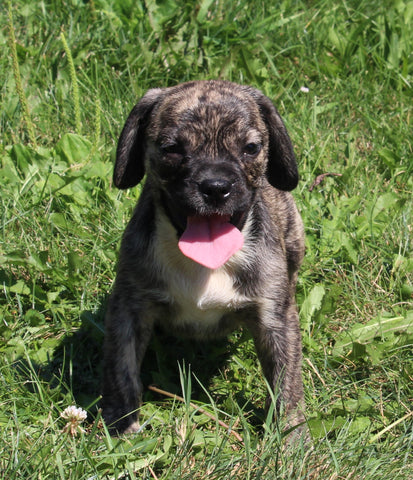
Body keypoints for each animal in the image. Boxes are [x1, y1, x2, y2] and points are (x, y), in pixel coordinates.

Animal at [101, 79, 304, 436]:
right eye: (171, 148)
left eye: (251, 148)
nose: (216, 186)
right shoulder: (128, 310)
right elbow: (121, 369)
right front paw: (122, 426)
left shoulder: (276, 321)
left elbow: (286, 383)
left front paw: (290, 437)